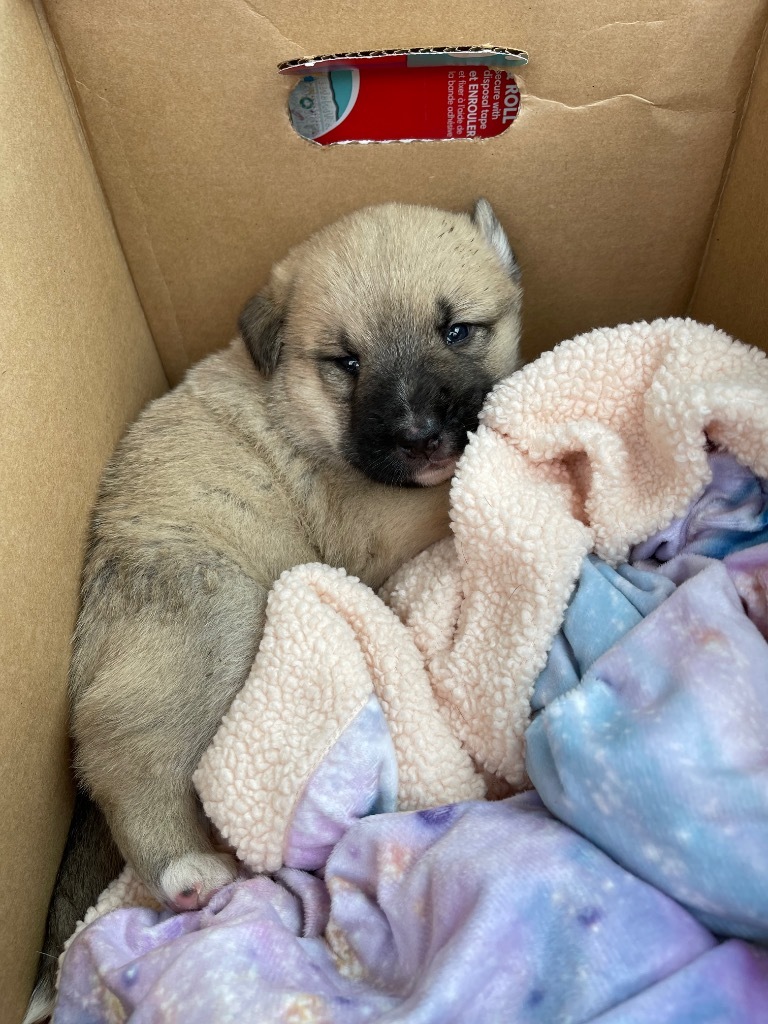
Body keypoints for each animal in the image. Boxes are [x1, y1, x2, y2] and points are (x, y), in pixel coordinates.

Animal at [28, 201, 524, 1024]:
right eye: (345, 362)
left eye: (458, 330)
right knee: (133, 769)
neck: (301, 410)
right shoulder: (381, 533)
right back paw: (188, 873)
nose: (420, 436)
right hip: (215, 623)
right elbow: (448, 504)